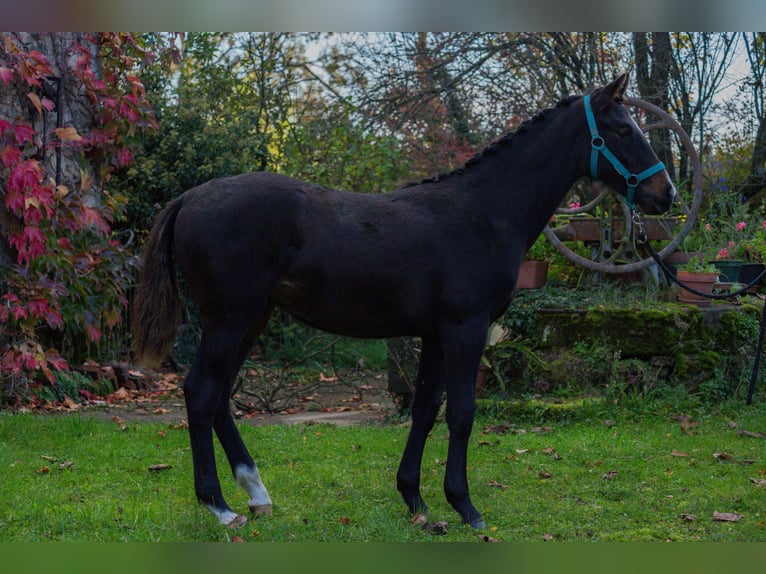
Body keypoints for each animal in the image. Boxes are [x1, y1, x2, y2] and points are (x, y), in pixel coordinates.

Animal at [134, 74, 680, 532]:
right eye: (622, 130)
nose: (666, 193)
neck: (484, 213)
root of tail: (191, 197)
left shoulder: (435, 335)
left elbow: (425, 410)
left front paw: (416, 500)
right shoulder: (466, 329)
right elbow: (462, 413)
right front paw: (465, 506)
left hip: (252, 318)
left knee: (221, 397)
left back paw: (255, 493)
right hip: (229, 318)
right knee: (201, 393)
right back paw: (220, 506)